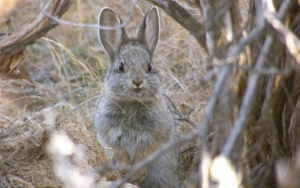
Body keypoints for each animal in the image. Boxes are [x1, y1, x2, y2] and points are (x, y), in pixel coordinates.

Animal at [94, 6, 178, 188]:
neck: (133, 101)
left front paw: (138, 174)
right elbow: (120, 154)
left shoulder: (155, 136)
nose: (138, 81)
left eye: (149, 66)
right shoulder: (111, 136)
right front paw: (127, 173)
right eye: (121, 66)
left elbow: (145, 153)